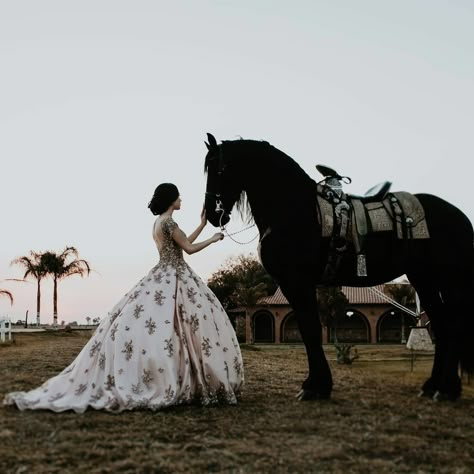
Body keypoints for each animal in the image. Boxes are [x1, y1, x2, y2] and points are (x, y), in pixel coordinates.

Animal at [204, 135, 474, 402]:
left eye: (220, 168)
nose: (212, 214)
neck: (296, 210)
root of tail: (458, 215)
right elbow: (309, 329)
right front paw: (318, 384)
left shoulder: (297, 282)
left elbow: (310, 329)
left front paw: (315, 386)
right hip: (424, 278)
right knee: (441, 325)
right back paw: (433, 386)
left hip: (447, 279)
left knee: (453, 326)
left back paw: (446, 389)